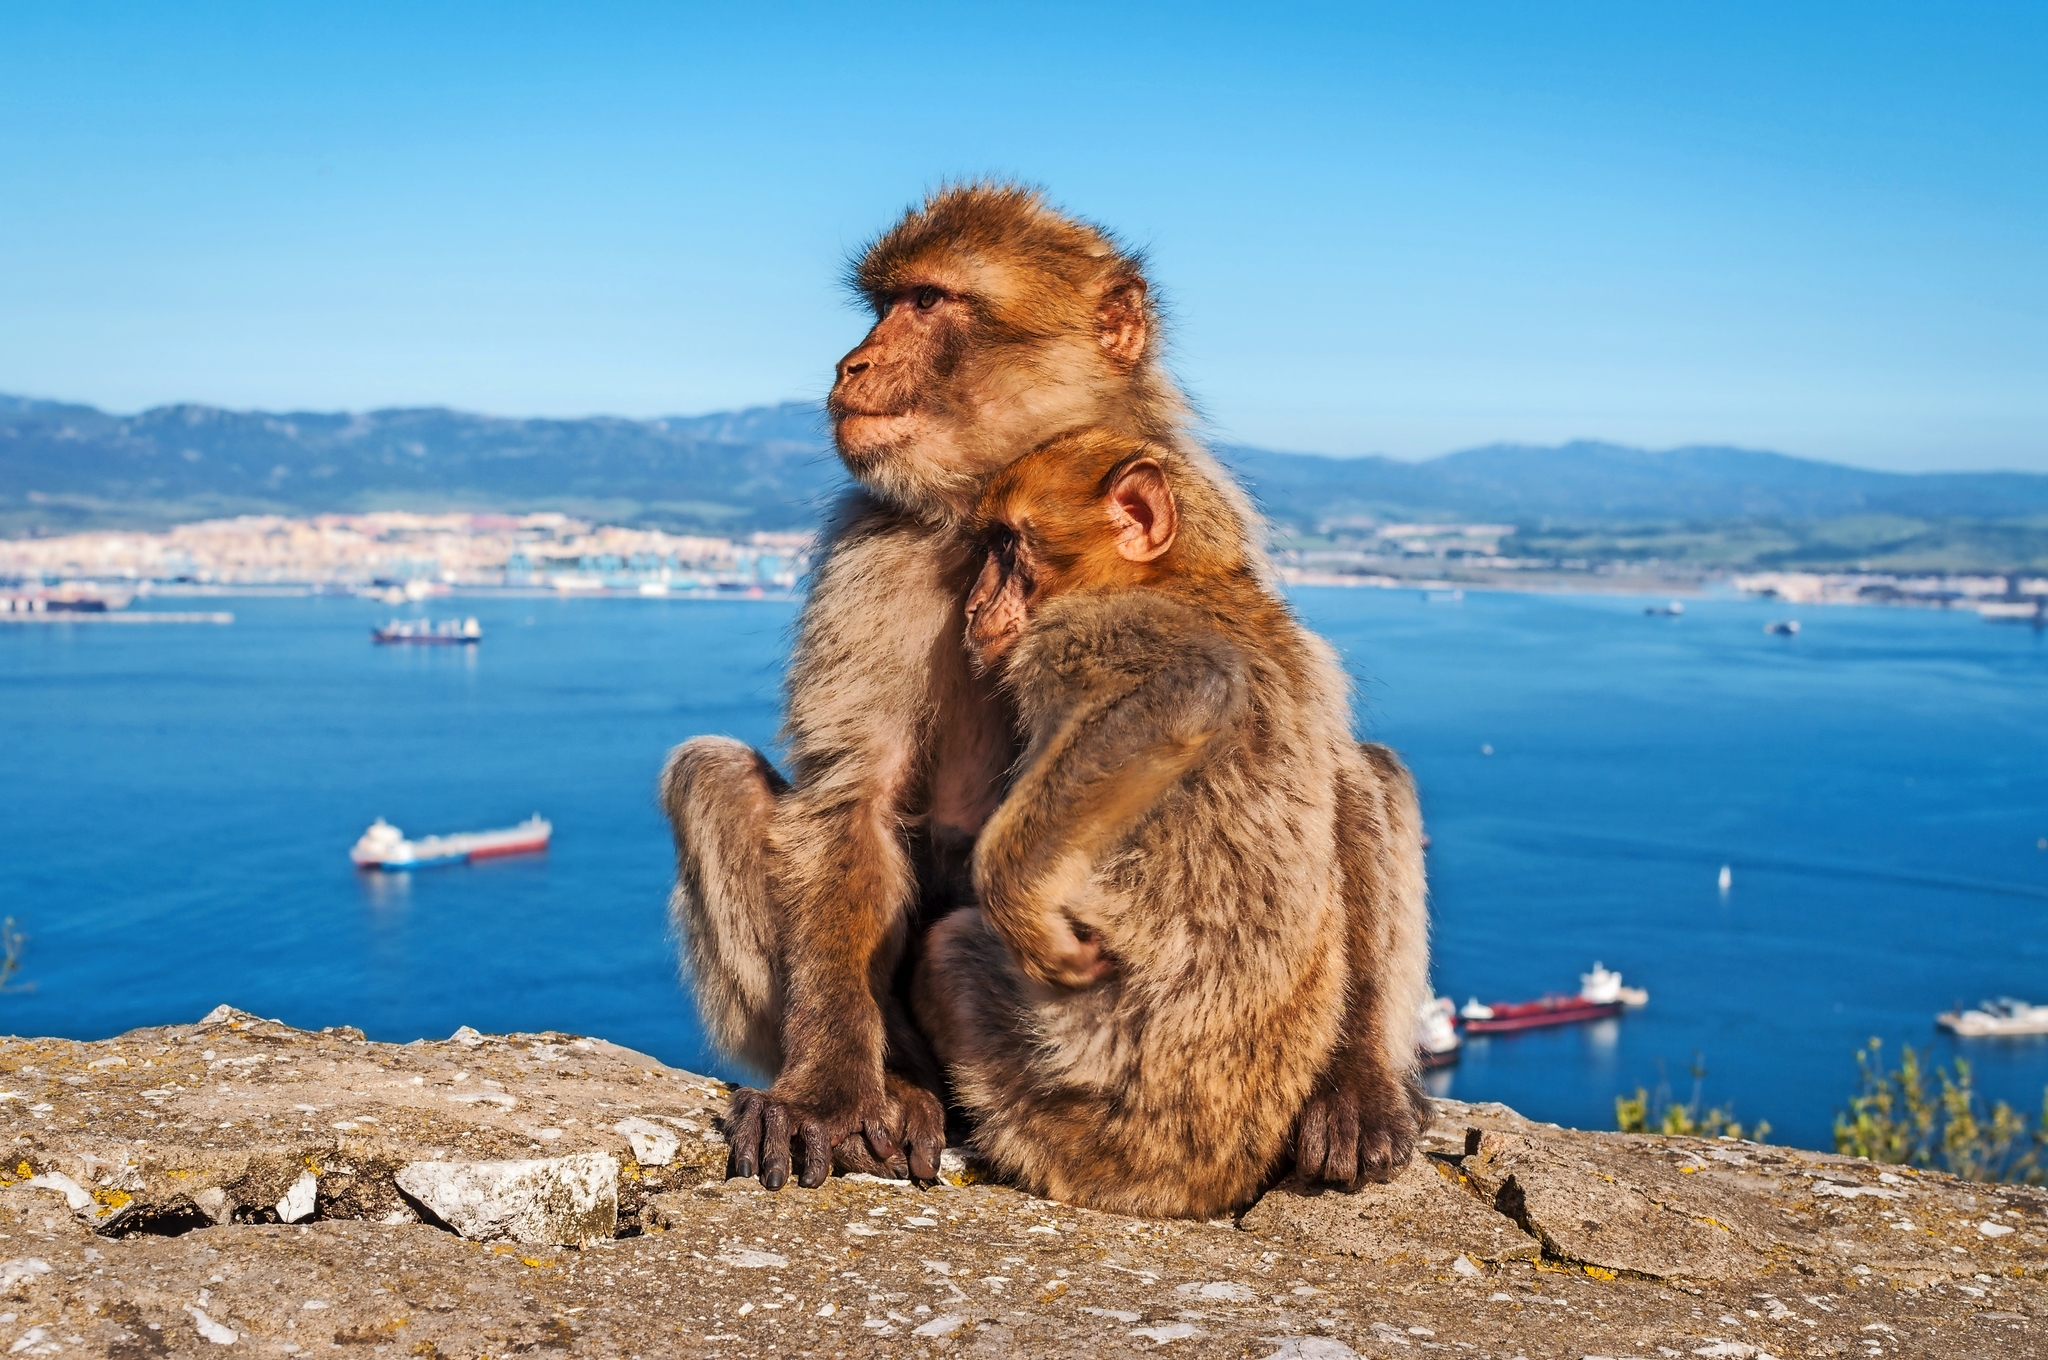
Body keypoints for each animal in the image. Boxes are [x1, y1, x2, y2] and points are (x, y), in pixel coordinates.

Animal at [660, 183, 1430, 1197]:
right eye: (886, 303)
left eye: (928, 303)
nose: (851, 363)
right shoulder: (872, 536)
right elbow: (851, 793)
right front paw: (828, 1090)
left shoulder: (1211, 518)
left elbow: (1326, 761)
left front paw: (1356, 1089)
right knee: (709, 774)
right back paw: (902, 1085)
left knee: (1371, 767)